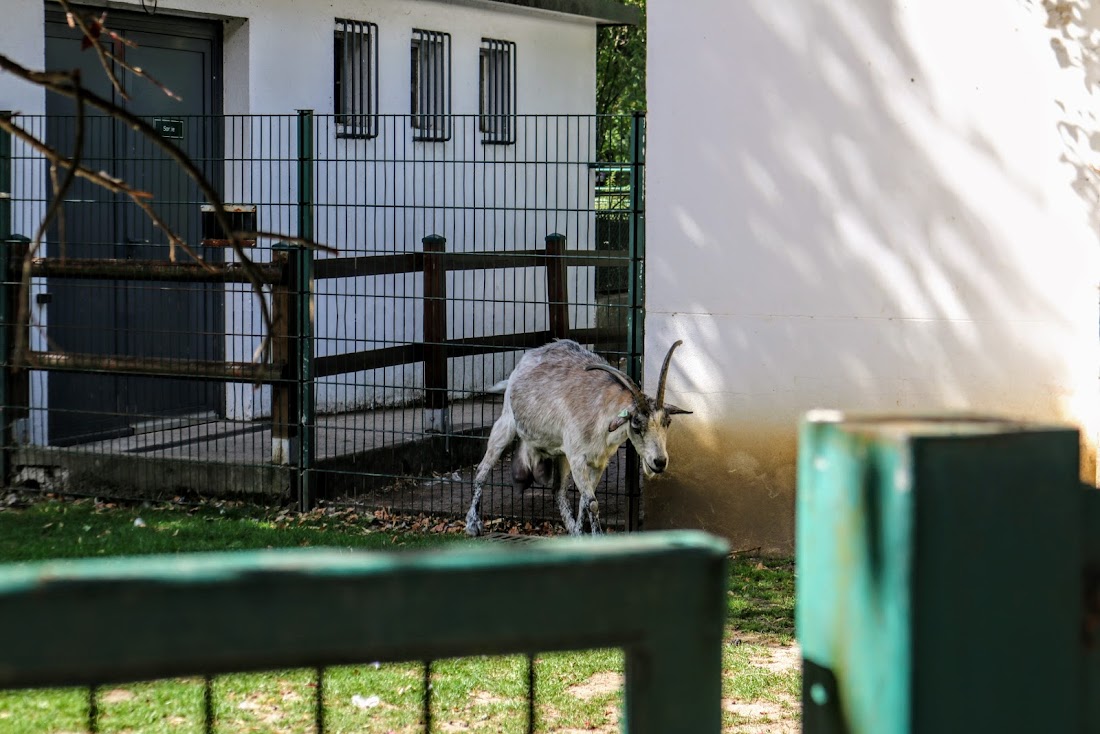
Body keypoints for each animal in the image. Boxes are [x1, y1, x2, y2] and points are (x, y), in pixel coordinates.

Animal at [466, 336, 690, 534]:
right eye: (636, 425)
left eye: (667, 422)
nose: (659, 462)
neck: (601, 412)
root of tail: (525, 361)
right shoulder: (577, 459)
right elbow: (592, 503)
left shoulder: (598, 462)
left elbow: (583, 501)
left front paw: (581, 534)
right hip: (506, 424)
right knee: (482, 470)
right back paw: (472, 524)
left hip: (561, 454)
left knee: (558, 490)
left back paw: (573, 531)